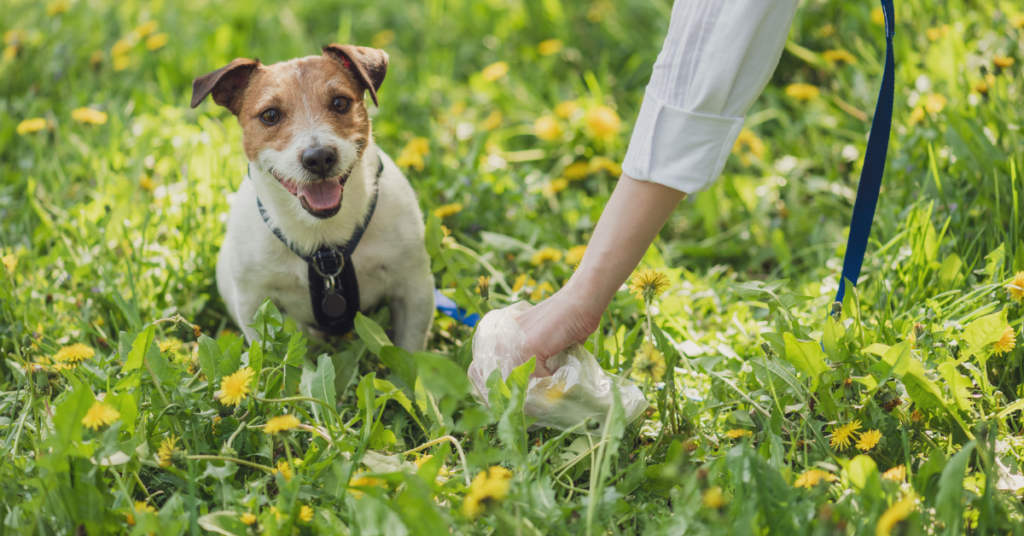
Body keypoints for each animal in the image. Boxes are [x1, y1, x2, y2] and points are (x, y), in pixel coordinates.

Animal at [190, 43, 434, 352]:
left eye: (340, 103)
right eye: (270, 115)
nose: (319, 158)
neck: (323, 239)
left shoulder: (414, 288)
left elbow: (409, 351)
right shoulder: (253, 302)